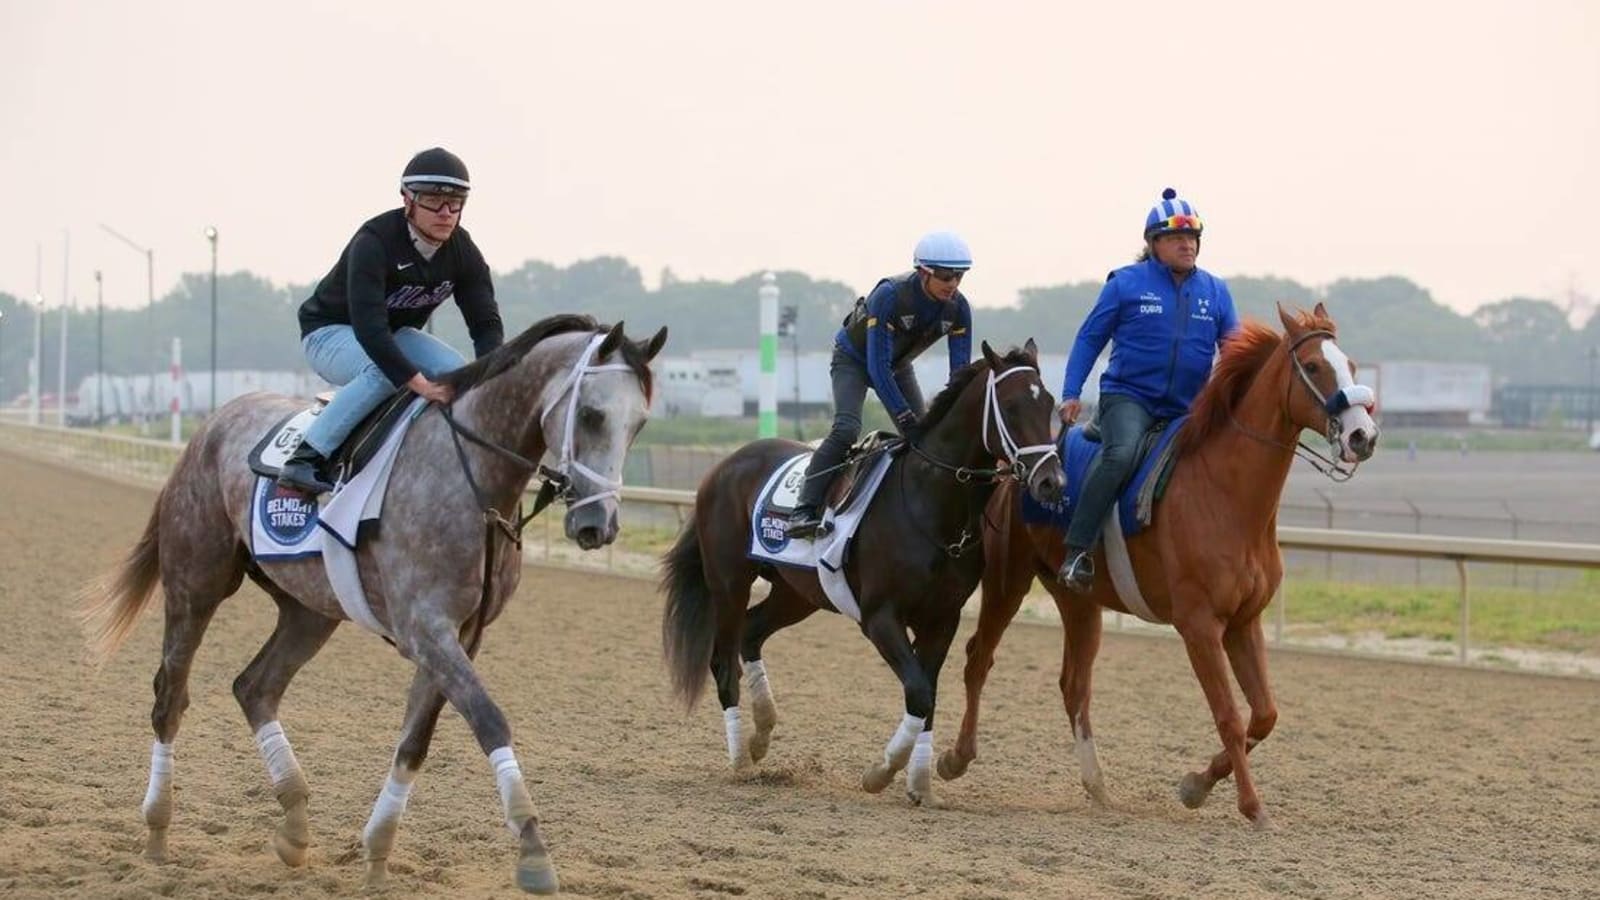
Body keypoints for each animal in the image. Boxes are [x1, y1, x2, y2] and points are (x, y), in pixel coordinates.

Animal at [79, 315, 668, 890]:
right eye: (591, 414)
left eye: (639, 424)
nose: (598, 525)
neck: (472, 480)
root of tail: (210, 425)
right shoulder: (425, 628)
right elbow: (488, 719)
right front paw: (532, 849)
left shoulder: (461, 635)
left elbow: (415, 740)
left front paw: (378, 851)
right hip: (195, 585)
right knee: (170, 697)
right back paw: (157, 831)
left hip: (310, 611)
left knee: (254, 687)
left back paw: (295, 825)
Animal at [659, 341, 1062, 807]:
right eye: (1012, 407)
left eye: (1050, 403)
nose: (1052, 481)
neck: (929, 503)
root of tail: (721, 466)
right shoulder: (880, 617)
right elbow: (919, 691)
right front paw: (881, 772)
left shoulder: (942, 619)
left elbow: (928, 695)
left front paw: (920, 785)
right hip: (729, 582)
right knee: (723, 659)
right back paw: (741, 758)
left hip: (797, 593)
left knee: (752, 631)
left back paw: (762, 733)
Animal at [934, 304, 1376, 826]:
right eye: (1312, 366)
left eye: (1350, 364)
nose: (1362, 436)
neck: (1227, 495)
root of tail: (1014, 470)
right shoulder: (1199, 626)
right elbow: (1229, 715)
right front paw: (1251, 805)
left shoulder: (1244, 622)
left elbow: (1265, 715)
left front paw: (1197, 785)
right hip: (1007, 582)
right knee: (978, 657)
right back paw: (955, 758)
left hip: (1079, 600)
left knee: (1074, 685)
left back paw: (1097, 785)